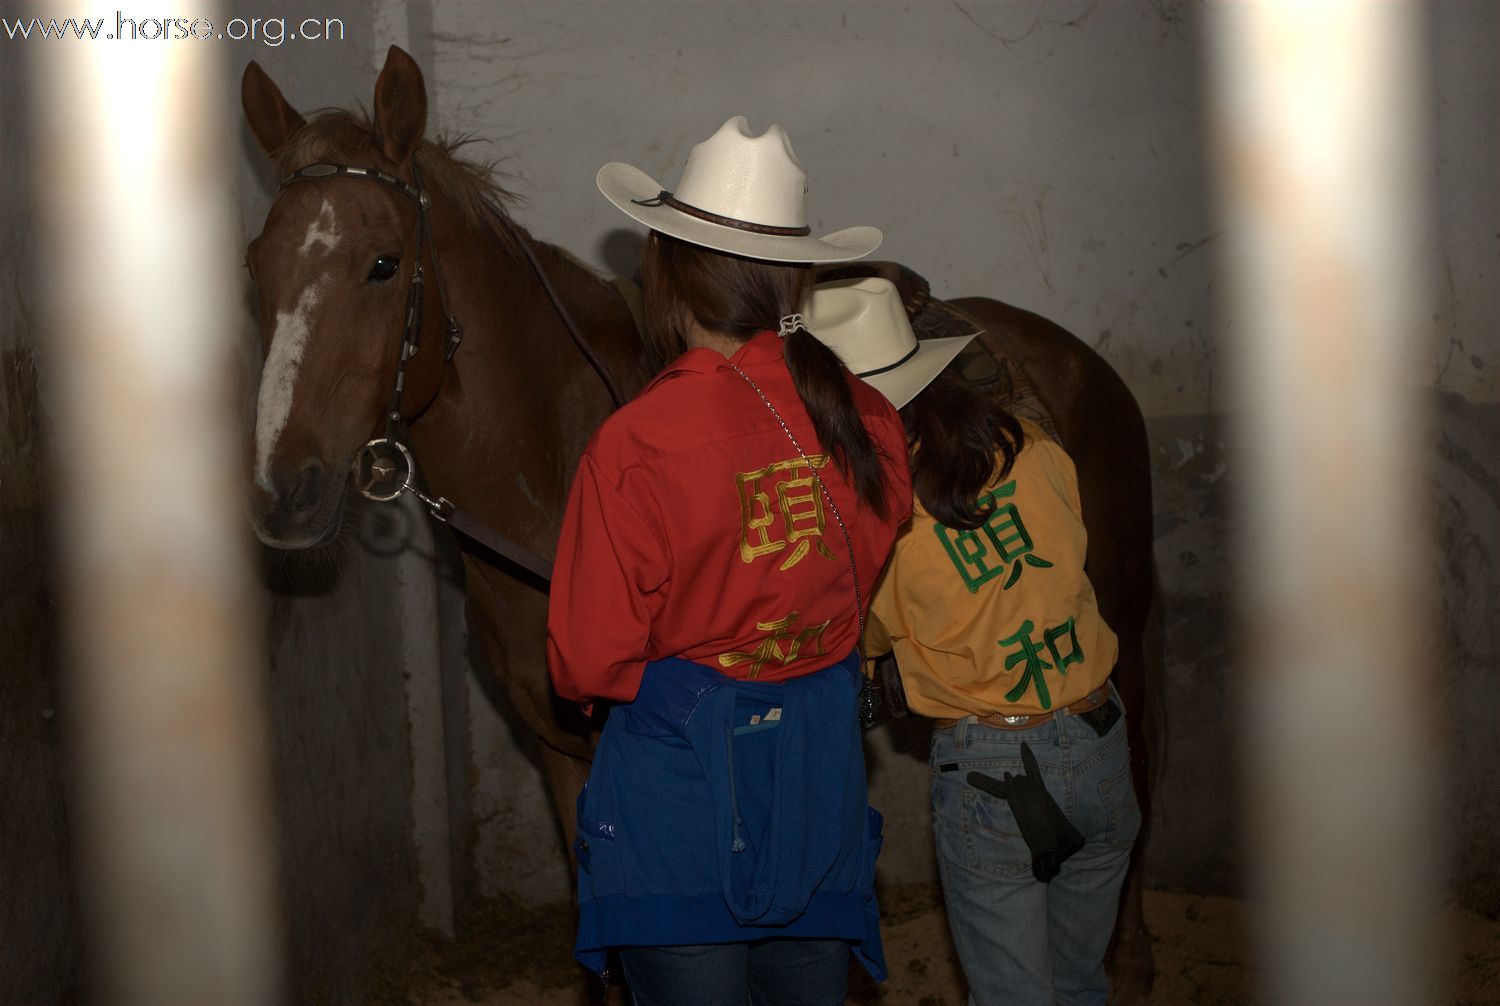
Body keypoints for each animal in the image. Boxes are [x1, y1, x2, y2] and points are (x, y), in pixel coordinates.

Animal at [243, 45, 1158, 1001]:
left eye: (384, 264)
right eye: (253, 268)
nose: (284, 489)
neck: (552, 465)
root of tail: (1073, 356)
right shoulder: (565, 761)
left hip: (1123, 625)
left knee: (1139, 765)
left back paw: (1132, 956)